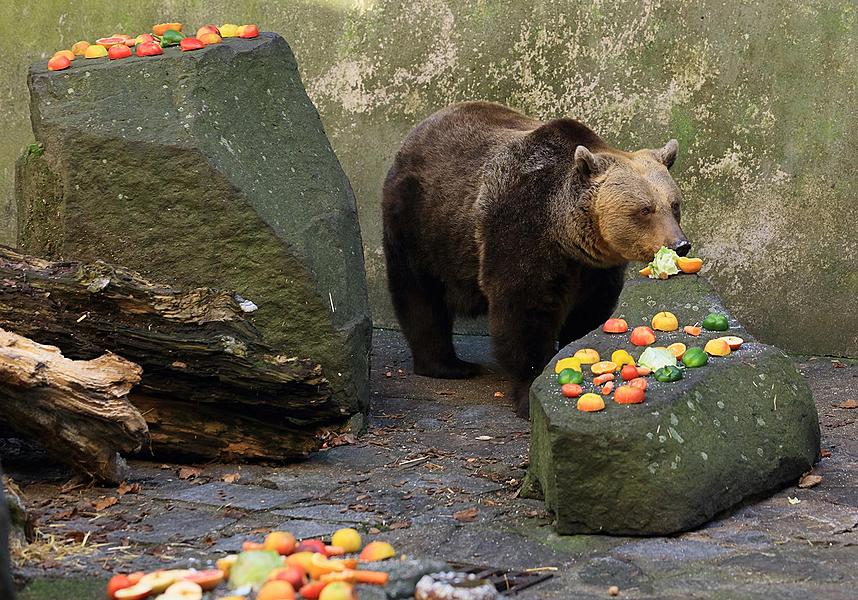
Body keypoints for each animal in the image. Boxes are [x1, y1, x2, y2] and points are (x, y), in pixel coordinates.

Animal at [382, 99, 688, 418]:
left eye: (674, 204)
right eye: (645, 209)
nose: (680, 245)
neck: (565, 234)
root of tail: (420, 129)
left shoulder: (595, 268)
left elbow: (589, 310)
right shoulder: (521, 230)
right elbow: (524, 313)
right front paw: (530, 393)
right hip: (421, 225)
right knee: (419, 294)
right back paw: (449, 365)